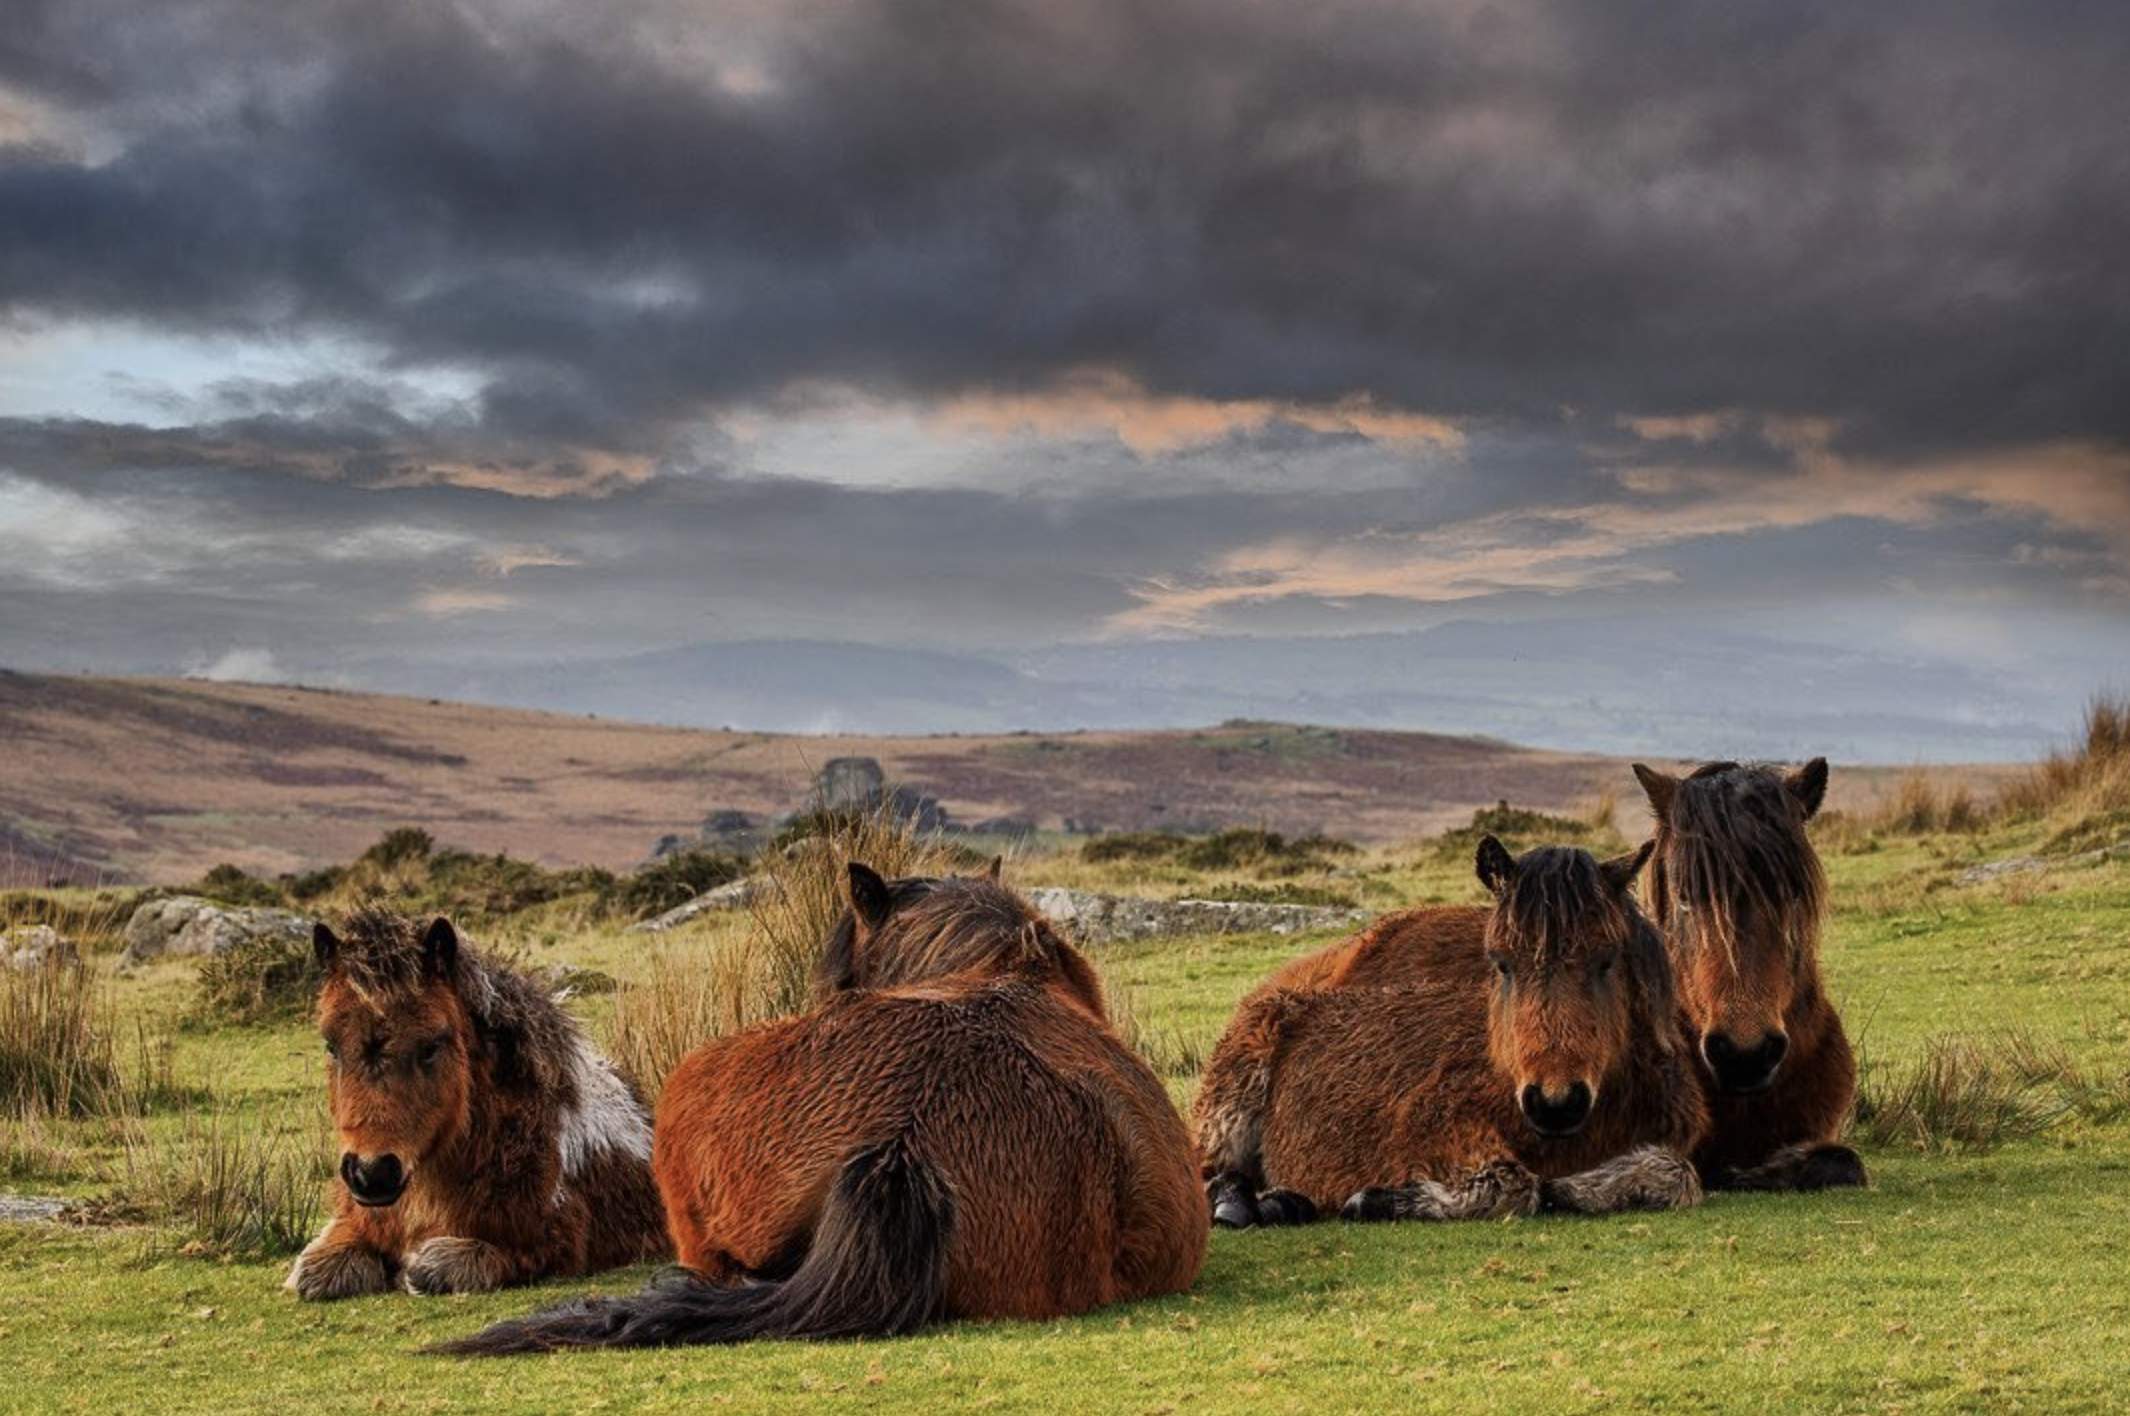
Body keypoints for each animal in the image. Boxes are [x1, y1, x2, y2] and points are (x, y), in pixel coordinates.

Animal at [285, 908, 666, 1300]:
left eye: (430, 1046)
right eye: (331, 1045)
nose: (371, 1174)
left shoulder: (549, 1243)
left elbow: (441, 1264)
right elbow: (318, 1268)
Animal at [1195, 837, 1707, 1227]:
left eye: (1607, 959)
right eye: (1500, 963)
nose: (1555, 1103)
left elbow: (1678, 1173)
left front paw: (1581, 1187)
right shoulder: (1437, 1128)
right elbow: (1512, 1185)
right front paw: (1377, 1199)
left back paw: (1283, 1202)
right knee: (1214, 1173)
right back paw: (1237, 1206)